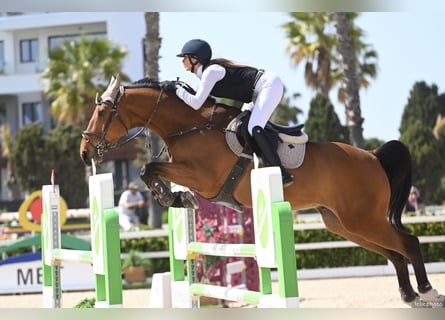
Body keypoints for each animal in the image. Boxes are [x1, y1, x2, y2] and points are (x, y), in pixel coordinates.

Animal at [78, 75, 442, 308]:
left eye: (102, 112)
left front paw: (174, 196)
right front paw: (177, 198)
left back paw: (427, 291)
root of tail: (373, 156)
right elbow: (149, 170)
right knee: (394, 252)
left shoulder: (204, 178)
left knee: (408, 243)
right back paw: (408, 295)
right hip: (343, 224)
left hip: (363, 219)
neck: (189, 126)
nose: (84, 153)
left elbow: (149, 168)